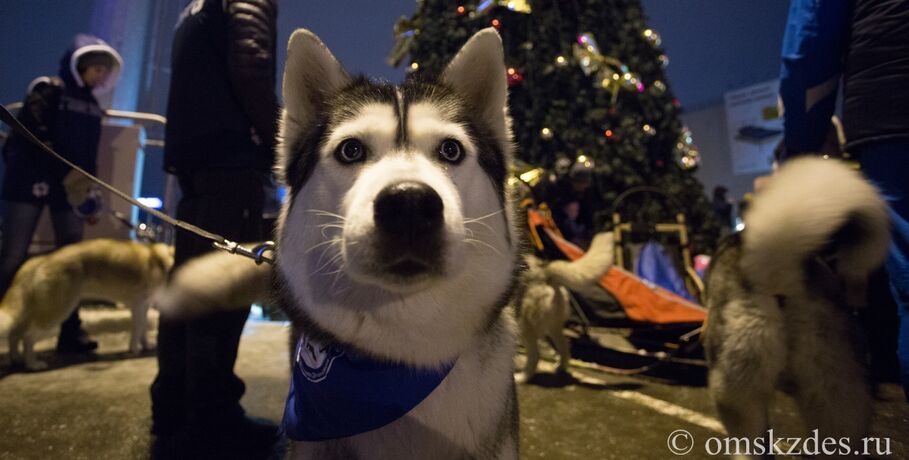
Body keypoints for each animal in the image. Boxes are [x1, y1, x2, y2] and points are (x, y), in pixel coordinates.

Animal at [0, 237, 172, 370]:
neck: (165, 263)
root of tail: (41, 259)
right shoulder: (138, 304)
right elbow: (137, 330)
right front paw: (134, 349)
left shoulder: (144, 306)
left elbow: (143, 330)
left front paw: (146, 346)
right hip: (56, 311)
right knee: (27, 337)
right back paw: (32, 364)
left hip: (34, 311)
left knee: (14, 334)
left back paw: (16, 359)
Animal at [516, 232, 612, 382]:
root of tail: (546, 272)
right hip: (551, 327)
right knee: (564, 346)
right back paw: (561, 368)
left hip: (524, 324)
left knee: (535, 355)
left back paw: (522, 377)